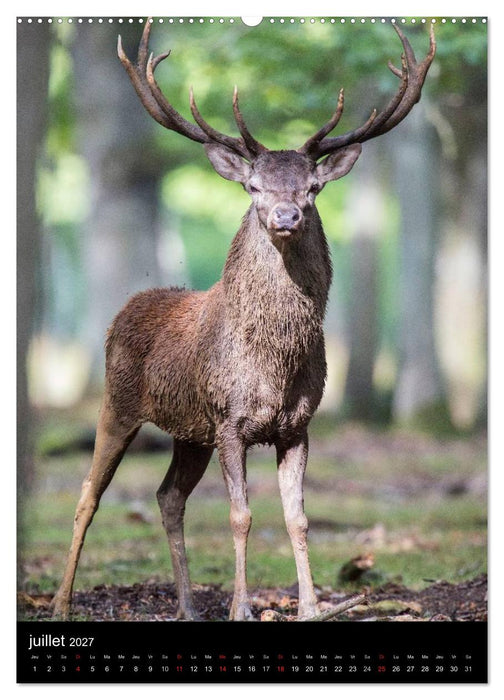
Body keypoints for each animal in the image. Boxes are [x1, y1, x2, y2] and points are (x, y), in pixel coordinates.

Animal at [51, 19, 435, 621]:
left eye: (313, 187)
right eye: (254, 186)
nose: (286, 214)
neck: (274, 363)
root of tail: (124, 310)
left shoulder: (297, 425)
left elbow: (297, 518)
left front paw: (311, 607)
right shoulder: (229, 419)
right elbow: (241, 515)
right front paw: (241, 608)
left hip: (190, 432)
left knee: (168, 497)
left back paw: (187, 607)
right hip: (118, 402)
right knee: (89, 492)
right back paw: (62, 603)